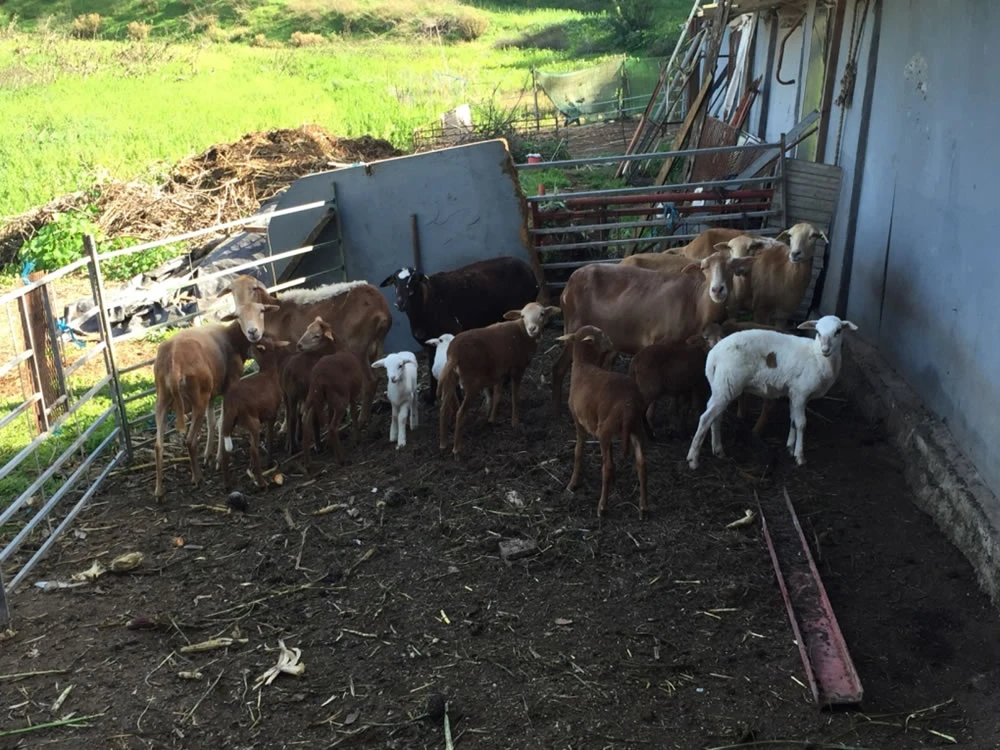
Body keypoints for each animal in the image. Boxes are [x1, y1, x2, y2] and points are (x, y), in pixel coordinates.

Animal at [153, 321, 251, 500]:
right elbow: (221, 421)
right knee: (190, 440)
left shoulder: (212, 395)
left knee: (158, 445)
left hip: (162, 398)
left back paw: (159, 491)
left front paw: (208, 456)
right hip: (198, 398)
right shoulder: (229, 386)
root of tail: (174, 361)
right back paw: (197, 479)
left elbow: (212, 422)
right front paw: (218, 458)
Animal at [218, 335, 292, 489]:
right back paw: (262, 482)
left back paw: (227, 484)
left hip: (228, 419)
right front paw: (269, 461)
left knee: (224, 450)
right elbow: (269, 437)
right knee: (253, 450)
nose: (247, 350)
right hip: (252, 420)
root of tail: (232, 401)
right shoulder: (272, 414)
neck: (269, 373)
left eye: (253, 346)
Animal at [437, 302, 560, 455]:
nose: (532, 329)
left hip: (450, 378)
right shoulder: (517, 368)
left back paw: (443, 444)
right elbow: (514, 396)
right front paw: (515, 422)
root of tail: (453, 353)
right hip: (472, 384)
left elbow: (497, 395)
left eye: (542, 314)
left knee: (443, 409)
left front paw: (491, 419)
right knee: (460, 413)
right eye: (523, 316)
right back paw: (456, 450)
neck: (523, 334)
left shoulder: (500, 372)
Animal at [557, 325, 650, 519]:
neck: (583, 365)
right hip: (636, 428)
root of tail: (629, 404)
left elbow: (578, 452)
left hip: (605, 431)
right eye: (602, 335)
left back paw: (602, 507)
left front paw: (573, 483)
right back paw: (643, 508)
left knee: (605, 468)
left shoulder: (579, 422)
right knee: (642, 464)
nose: (613, 342)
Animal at [686, 315, 858, 469]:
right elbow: (801, 423)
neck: (817, 357)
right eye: (817, 332)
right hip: (727, 382)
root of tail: (713, 355)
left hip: (720, 385)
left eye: (838, 331)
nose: (825, 349)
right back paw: (693, 460)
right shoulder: (800, 393)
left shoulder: (793, 393)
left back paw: (718, 450)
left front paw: (790, 447)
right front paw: (799, 456)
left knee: (716, 416)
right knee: (705, 418)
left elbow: (793, 420)